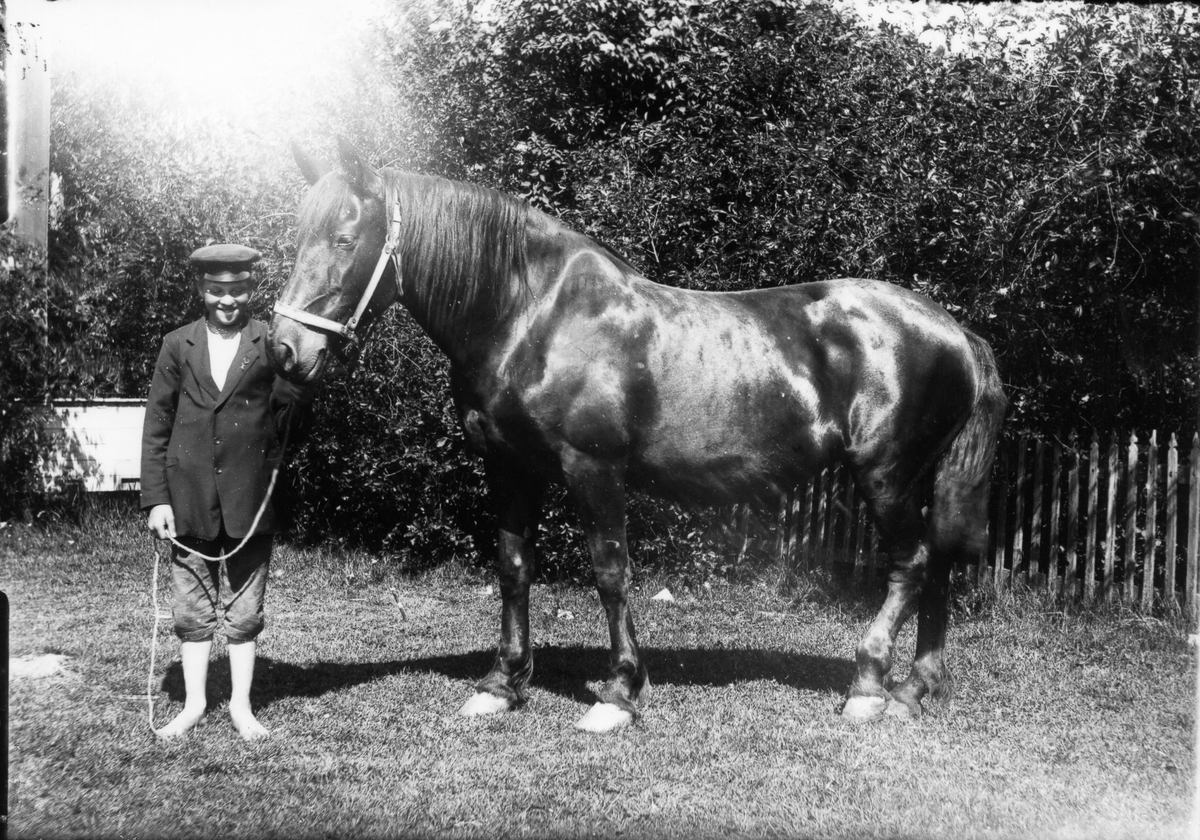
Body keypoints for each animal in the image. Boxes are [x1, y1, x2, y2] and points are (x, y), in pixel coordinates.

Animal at [269, 139, 1007, 733]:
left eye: (347, 237)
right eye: (299, 234)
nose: (284, 350)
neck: (534, 316)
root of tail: (953, 330)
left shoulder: (593, 469)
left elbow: (609, 571)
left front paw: (619, 694)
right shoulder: (509, 469)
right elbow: (513, 567)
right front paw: (502, 685)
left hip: (886, 473)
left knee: (911, 565)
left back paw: (868, 687)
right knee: (938, 565)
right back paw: (914, 688)